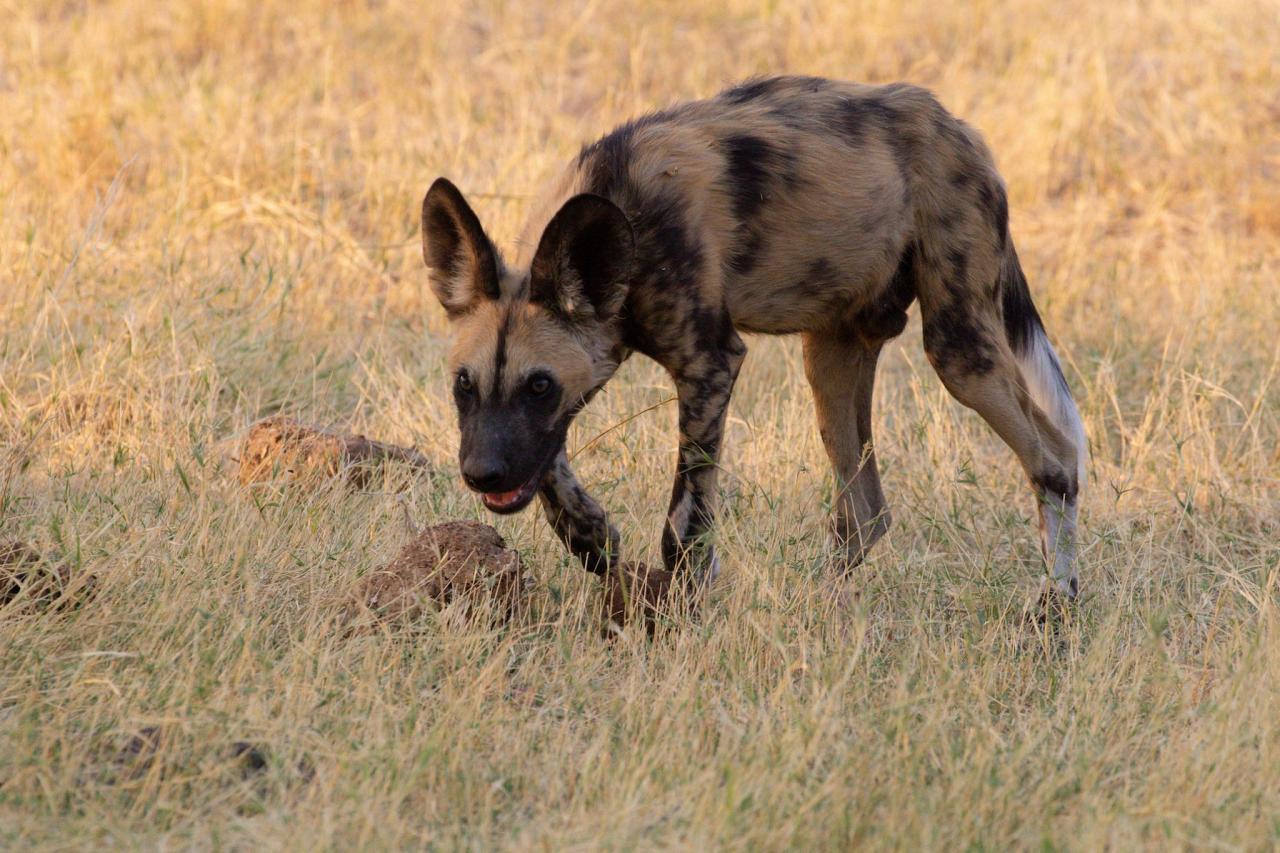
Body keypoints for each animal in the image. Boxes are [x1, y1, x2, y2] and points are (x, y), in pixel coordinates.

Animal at [424, 76, 1085, 594]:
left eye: (538, 386)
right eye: (463, 385)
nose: (481, 475)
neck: (629, 216)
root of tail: (959, 127)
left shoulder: (709, 365)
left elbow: (683, 526)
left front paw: (683, 608)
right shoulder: (557, 409)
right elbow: (552, 471)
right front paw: (594, 538)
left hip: (958, 350)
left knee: (1055, 464)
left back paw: (1056, 609)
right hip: (830, 357)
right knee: (863, 512)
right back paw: (821, 617)